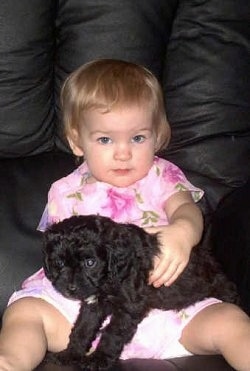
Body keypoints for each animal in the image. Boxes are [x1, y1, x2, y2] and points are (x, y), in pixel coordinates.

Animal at [43, 214, 238, 370]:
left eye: (90, 262)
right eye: (59, 263)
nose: (70, 288)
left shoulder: (130, 306)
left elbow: (112, 333)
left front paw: (98, 359)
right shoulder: (93, 304)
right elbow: (82, 329)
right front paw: (71, 354)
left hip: (216, 283)